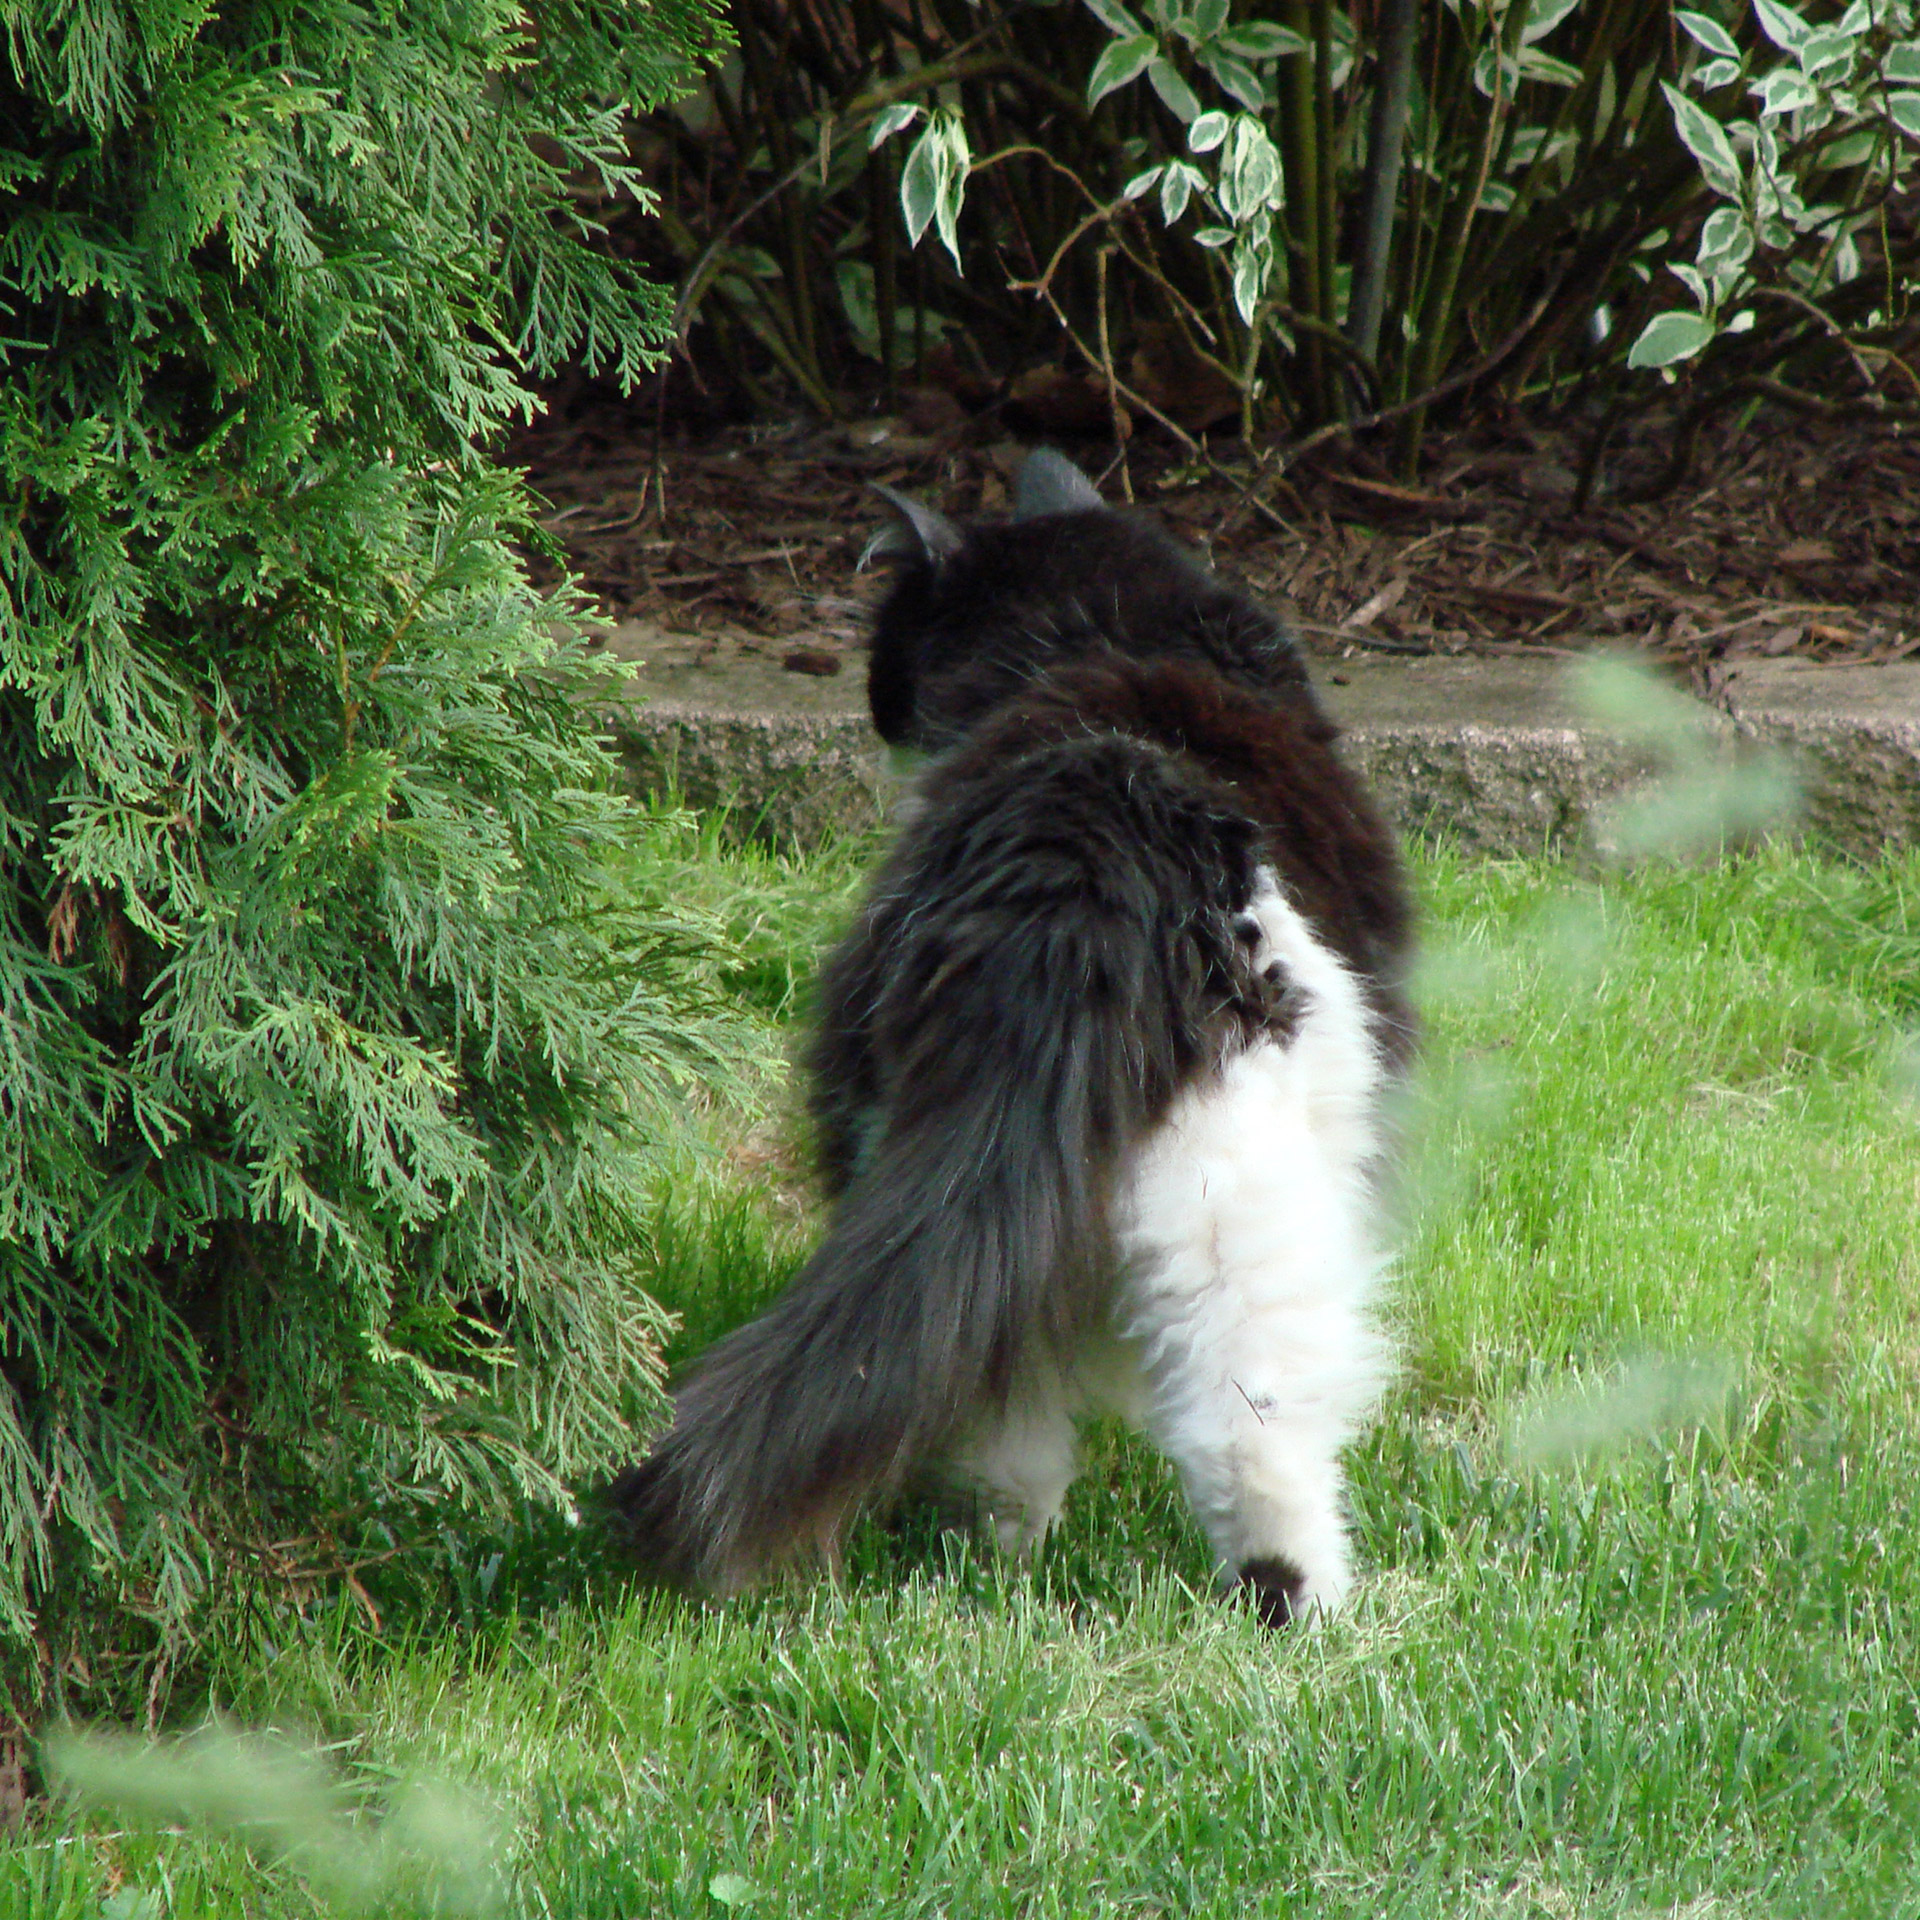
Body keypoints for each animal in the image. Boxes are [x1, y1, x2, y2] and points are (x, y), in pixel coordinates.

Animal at [606, 449, 1420, 1620]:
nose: (878, 712)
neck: (1117, 631)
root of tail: (1097, 845)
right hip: (1239, 1214)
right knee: (1253, 1427)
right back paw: (1295, 1607)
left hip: (938, 1160)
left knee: (996, 1395)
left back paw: (986, 1567)